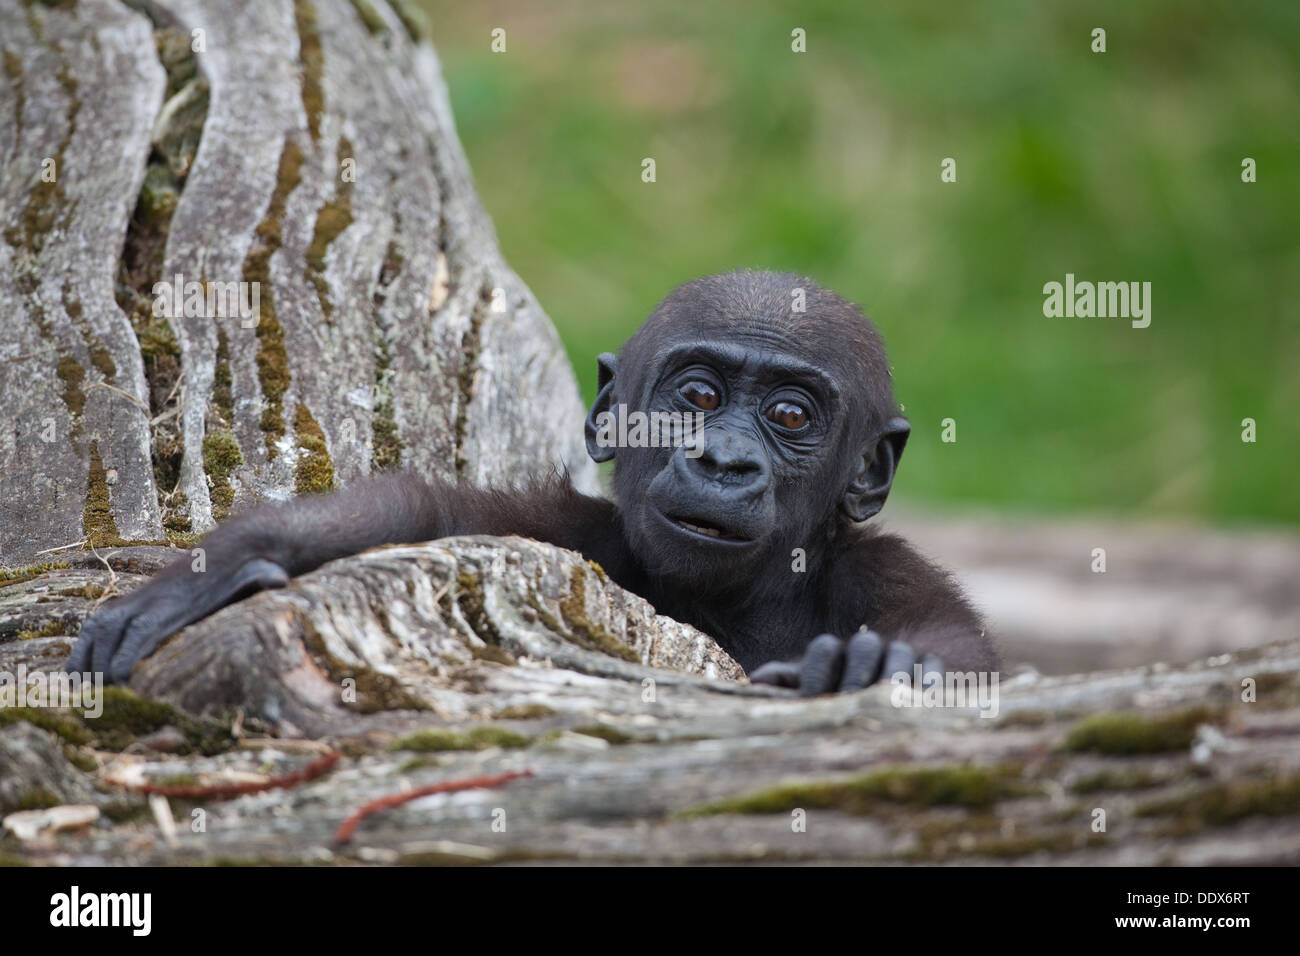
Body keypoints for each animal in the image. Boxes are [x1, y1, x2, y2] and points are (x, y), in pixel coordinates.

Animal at [68, 269, 993, 697]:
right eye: (698, 397)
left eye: (792, 416)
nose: (724, 461)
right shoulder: (570, 532)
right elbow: (438, 516)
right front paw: (232, 560)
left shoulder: (887, 569)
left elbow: (954, 646)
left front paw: (884, 665)